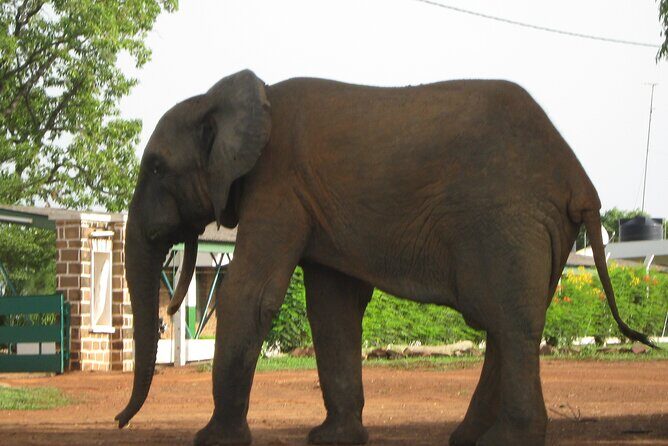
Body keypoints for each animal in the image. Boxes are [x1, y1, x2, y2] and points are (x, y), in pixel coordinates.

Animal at [115, 70, 653, 446]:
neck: (227, 98)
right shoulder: (309, 198)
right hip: (538, 228)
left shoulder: (278, 184)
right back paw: (468, 438)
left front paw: (211, 440)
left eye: (156, 167)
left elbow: (252, 294)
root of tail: (578, 177)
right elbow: (331, 309)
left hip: (505, 221)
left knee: (510, 321)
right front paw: (332, 440)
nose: (120, 422)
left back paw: (504, 440)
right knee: (510, 321)